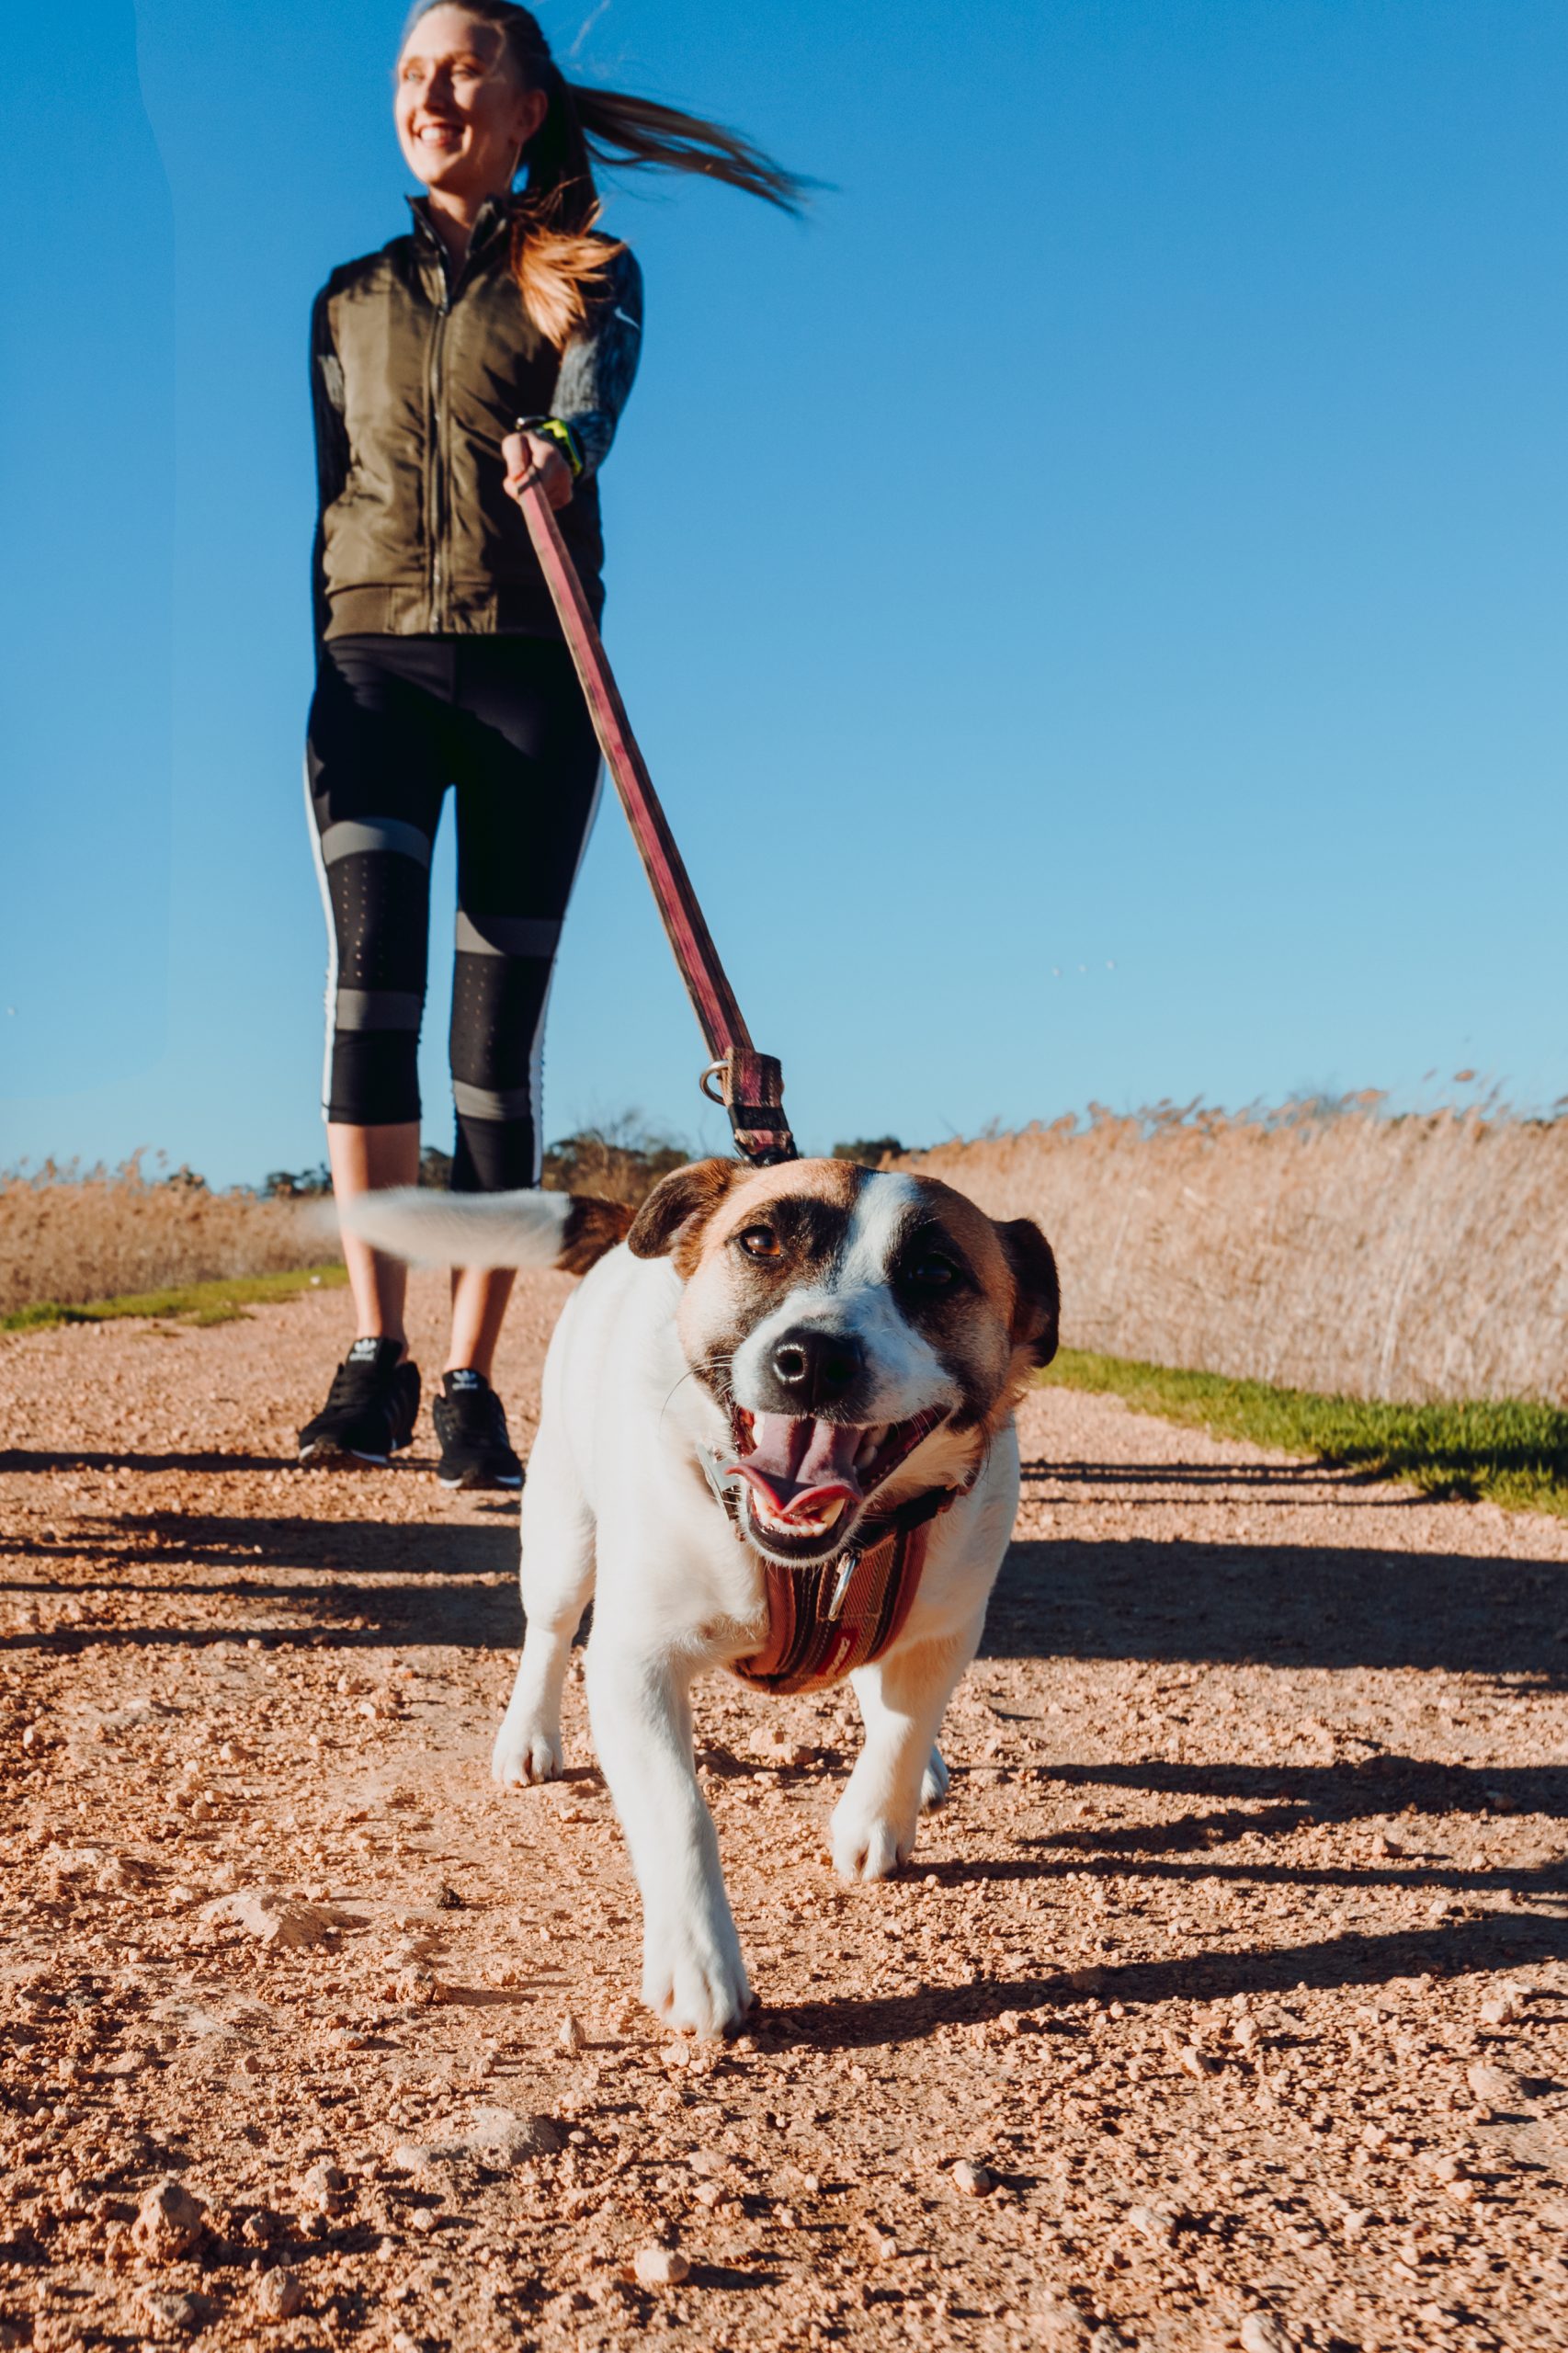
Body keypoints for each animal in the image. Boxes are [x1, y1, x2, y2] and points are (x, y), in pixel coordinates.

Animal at [348, 1162, 1054, 2042]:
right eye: (760, 1241)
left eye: (934, 1271)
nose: (813, 1358)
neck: (821, 1559)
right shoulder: (635, 1664)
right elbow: (677, 1807)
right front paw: (699, 1960)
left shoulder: (946, 1630)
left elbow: (901, 1726)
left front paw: (874, 1819)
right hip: (562, 1533)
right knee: (547, 1632)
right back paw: (526, 1737)